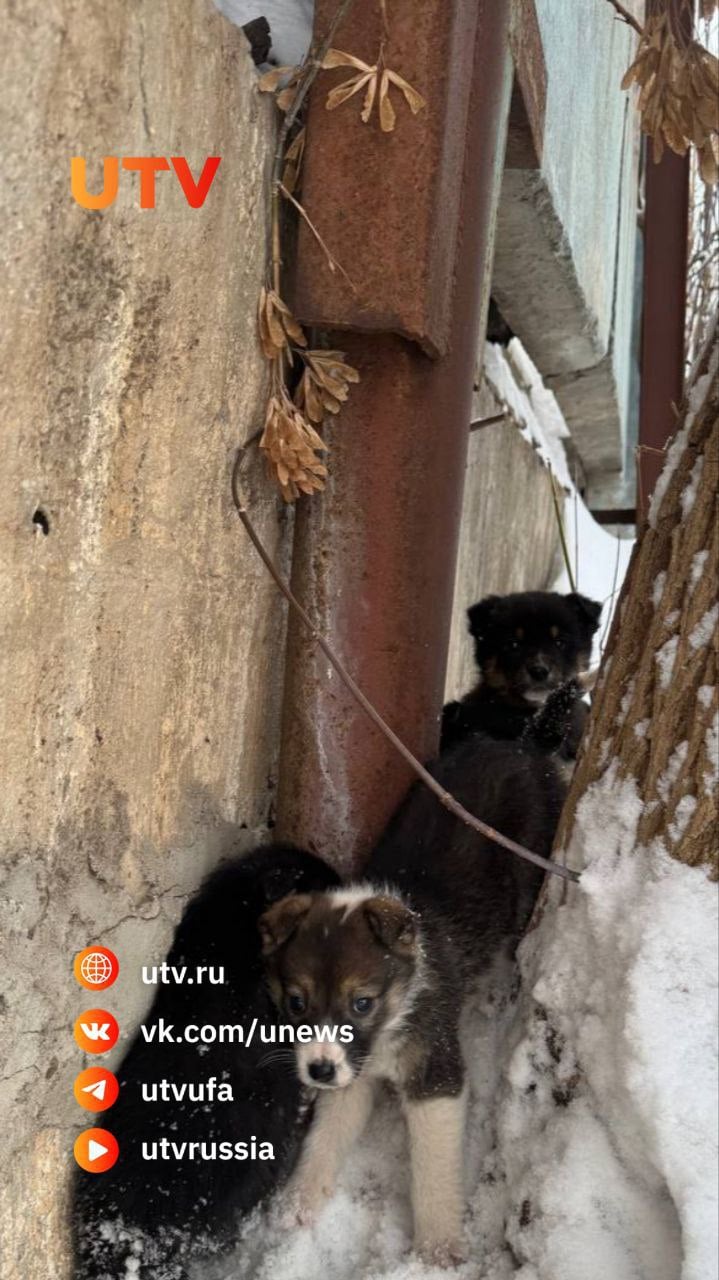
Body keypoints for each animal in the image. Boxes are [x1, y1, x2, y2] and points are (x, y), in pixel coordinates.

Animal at [258, 737, 565, 1264]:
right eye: (297, 1003)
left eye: (361, 1003)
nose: (317, 1072)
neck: (391, 1020)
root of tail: (516, 745)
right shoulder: (350, 1071)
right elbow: (325, 1136)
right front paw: (297, 1204)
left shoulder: (434, 1073)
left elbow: (433, 1169)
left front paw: (438, 1250)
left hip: (528, 875)